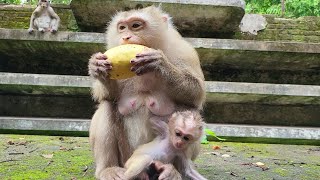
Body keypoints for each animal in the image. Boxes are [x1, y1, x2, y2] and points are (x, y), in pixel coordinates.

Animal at [89, 5, 206, 180]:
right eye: (122, 28)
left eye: (136, 25)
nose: (126, 37)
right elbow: (108, 96)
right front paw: (98, 67)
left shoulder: (184, 50)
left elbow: (196, 94)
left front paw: (159, 64)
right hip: (126, 157)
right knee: (107, 105)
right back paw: (108, 169)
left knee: (189, 110)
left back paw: (173, 171)